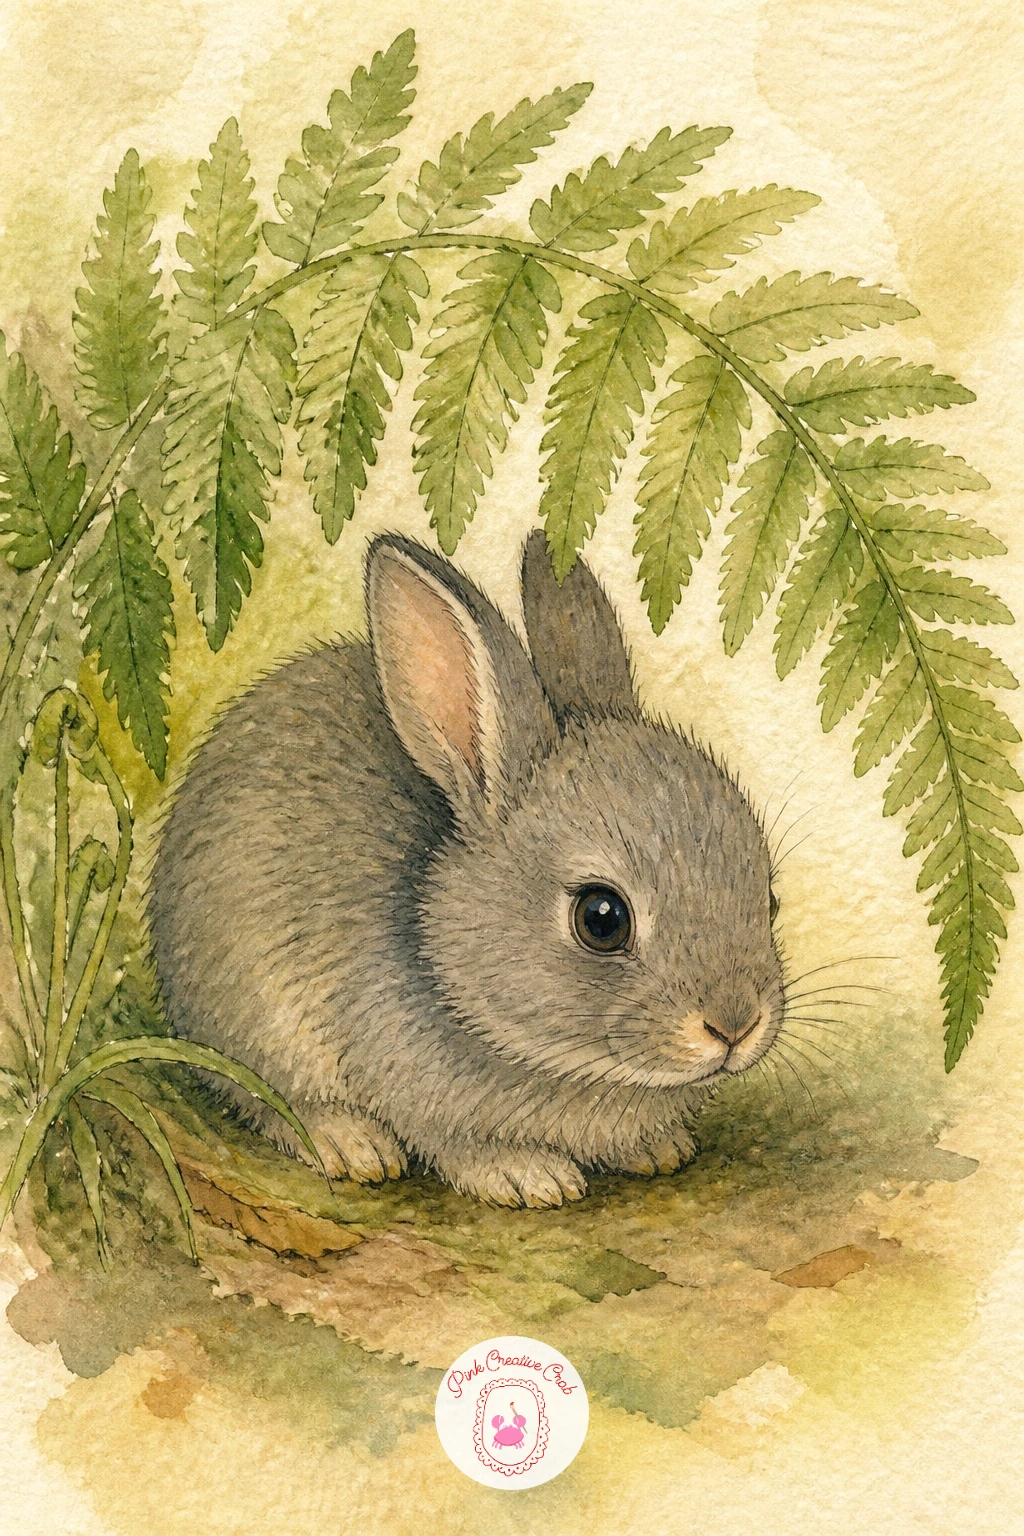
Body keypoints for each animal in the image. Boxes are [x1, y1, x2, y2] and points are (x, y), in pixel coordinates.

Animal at [146, 529, 786, 1208]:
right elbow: (456, 1144)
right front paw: (527, 1176)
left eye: (768, 897)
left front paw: (658, 1149)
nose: (735, 1025)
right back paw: (347, 1142)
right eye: (601, 919)